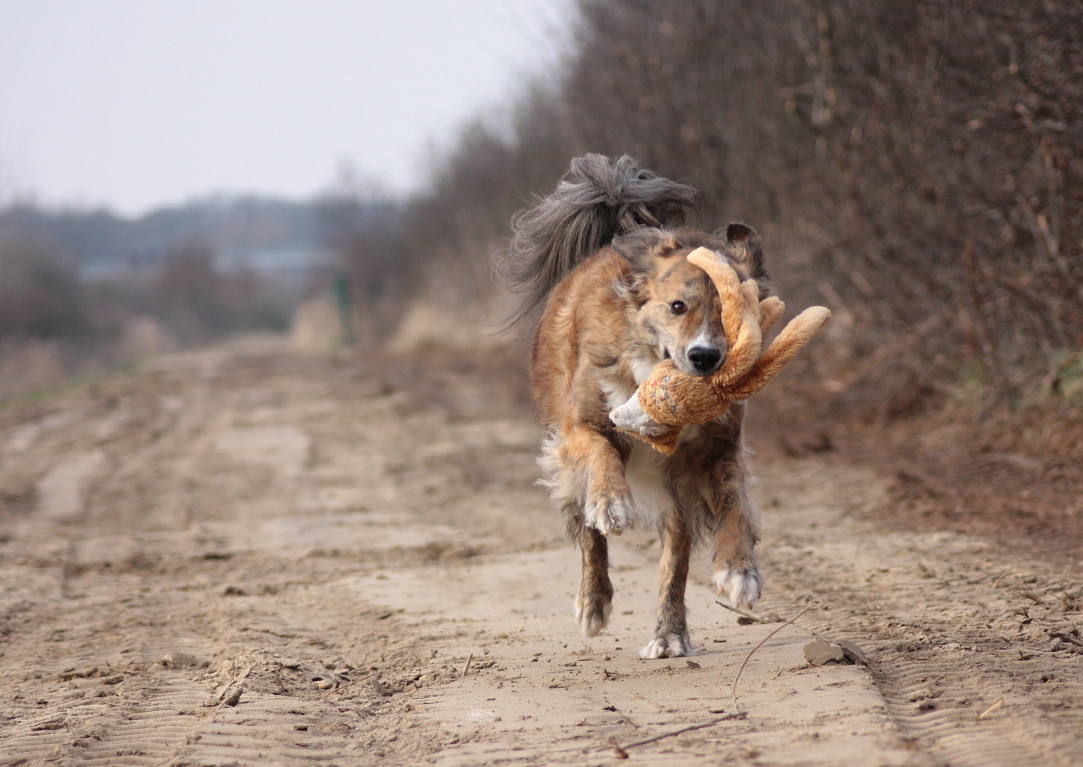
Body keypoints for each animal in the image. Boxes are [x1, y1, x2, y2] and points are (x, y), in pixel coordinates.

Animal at [502, 156, 775, 658]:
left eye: (733, 315)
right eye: (677, 306)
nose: (705, 357)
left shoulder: (717, 449)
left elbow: (733, 503)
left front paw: (739, 570)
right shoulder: (580, 426)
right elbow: (601, 454)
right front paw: (612, 503)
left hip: (677, 494)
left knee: (675, 562)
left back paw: (669, 635)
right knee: (589, 536)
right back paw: (593, 603)